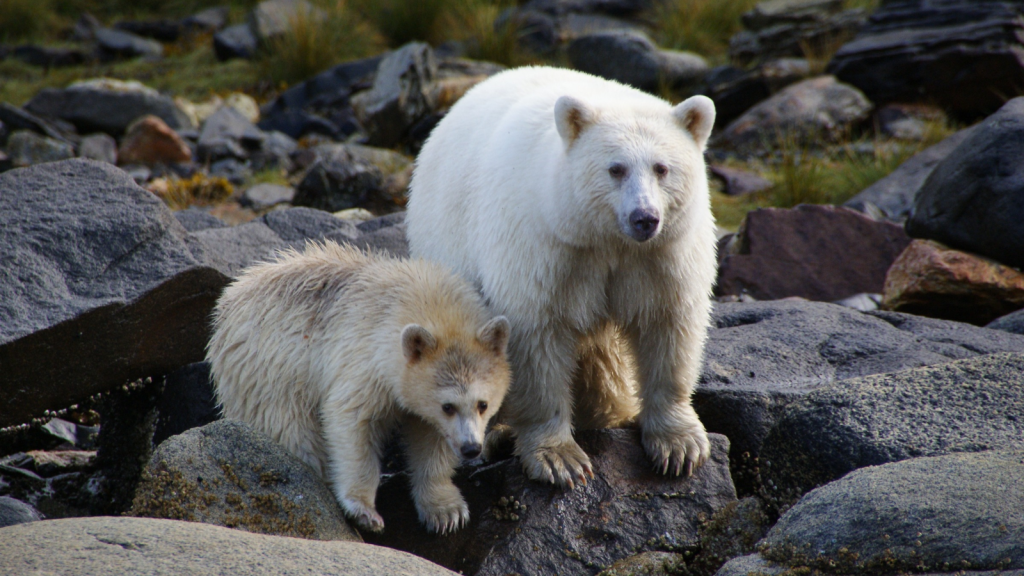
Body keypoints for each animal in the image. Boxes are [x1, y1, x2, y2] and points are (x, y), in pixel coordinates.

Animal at [206, 239, 512, 532]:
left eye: (483, 404)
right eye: (448, 406)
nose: (471, 448)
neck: (416, 297)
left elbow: (431, 438)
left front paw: (446, 512)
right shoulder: (364, 358)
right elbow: (353, 421)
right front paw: (364, 510)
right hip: (269, 373)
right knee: (292, 430)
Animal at [403, 68, 716, 487]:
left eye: (662, 168)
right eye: (616, 168)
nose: (644, 218)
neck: (605, 240)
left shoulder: (661, 255)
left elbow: (668, 325)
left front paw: (679, 445)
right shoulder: (548, 247)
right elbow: (536, 335)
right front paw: (559, 458)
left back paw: (611, 409)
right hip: (447, 243)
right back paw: (498, 433)